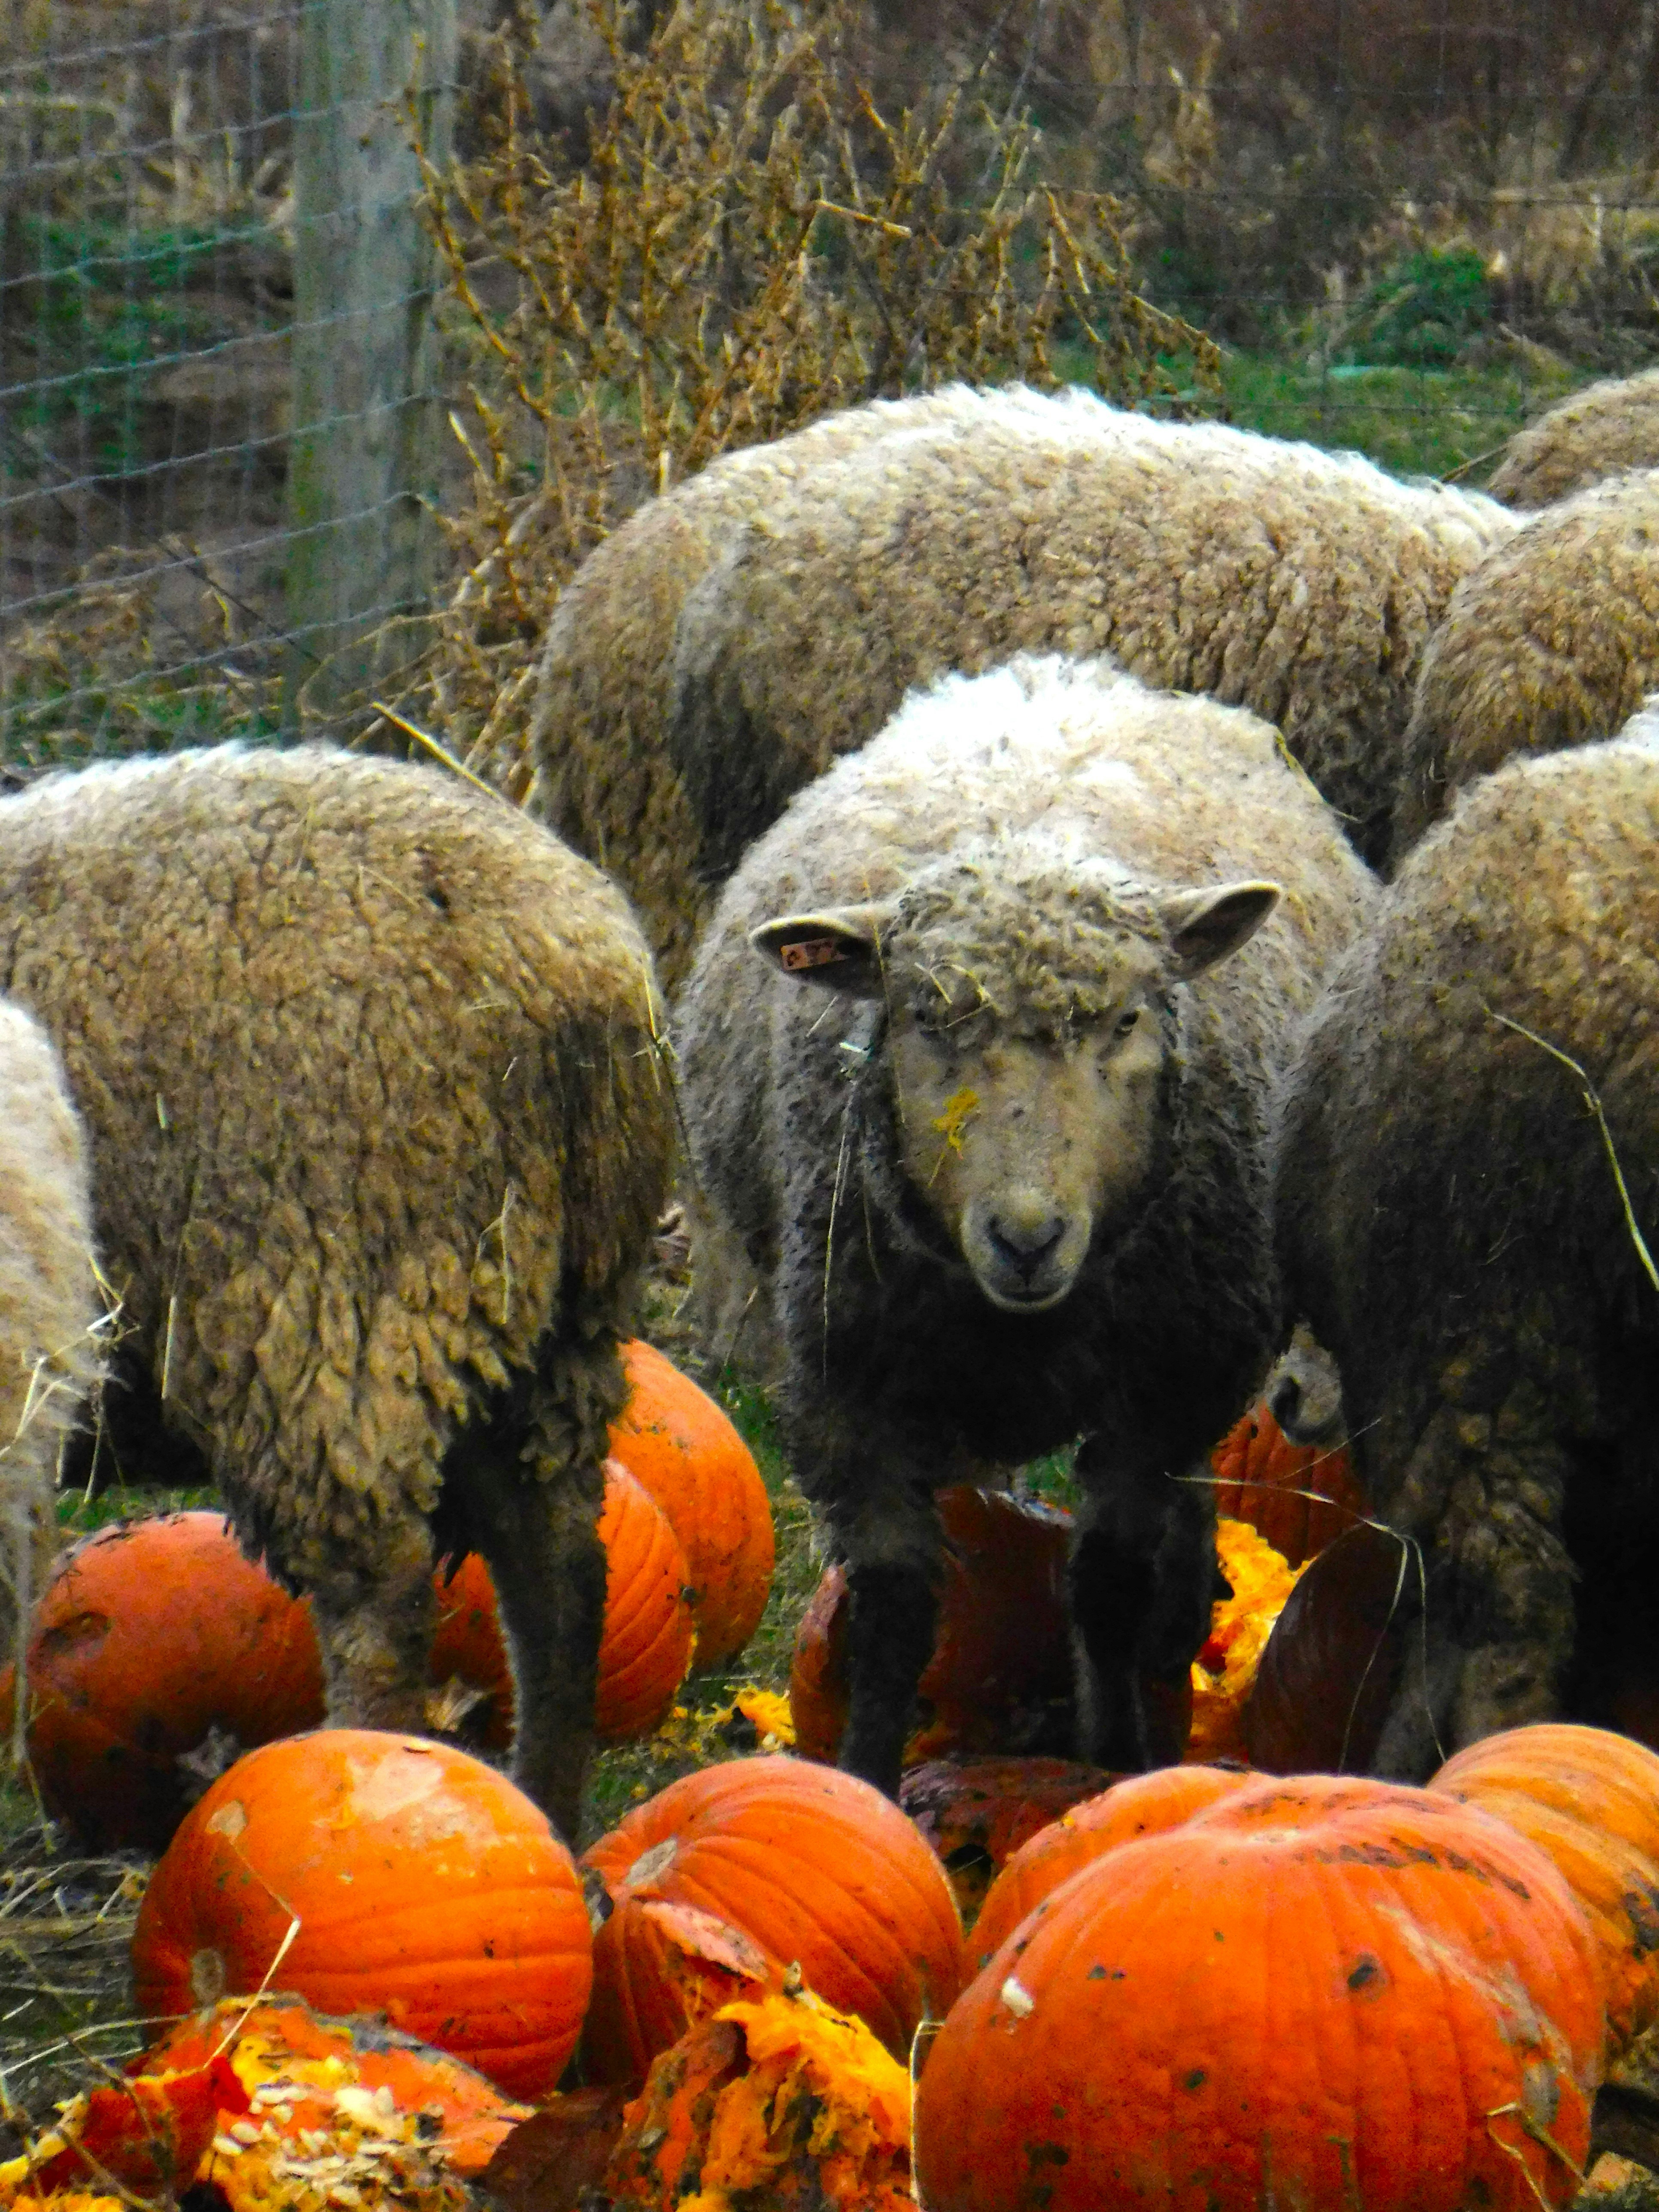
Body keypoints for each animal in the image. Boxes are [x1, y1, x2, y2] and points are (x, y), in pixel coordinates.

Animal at [0, 743, 674, 1840]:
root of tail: (584, 966)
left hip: (337, 1293)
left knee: (381, 1600)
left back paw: (367, 1776)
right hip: (545, 1312)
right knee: (560, 1570)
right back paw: (550, 1817)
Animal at [676, 654, 1377, 1793]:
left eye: (1129, 1018)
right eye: (924, 1018)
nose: (1027, 1236)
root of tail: (1053, 675)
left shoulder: (1158, 1388)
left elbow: (1108, 1582)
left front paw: (1117, 1759)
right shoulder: (846, 1392)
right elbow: (890, 1613)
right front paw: (864, 1780)